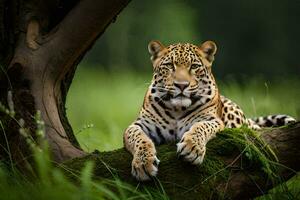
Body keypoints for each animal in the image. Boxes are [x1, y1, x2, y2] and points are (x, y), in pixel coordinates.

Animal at [122, 39, 296, 180]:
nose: (181, 85)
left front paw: (192, 148)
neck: (177, 109)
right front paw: (143, 163)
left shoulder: (211, 120)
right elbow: (137, 137)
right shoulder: (141, 124)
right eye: (170, 66)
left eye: (194, 66)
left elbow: (200, 127)